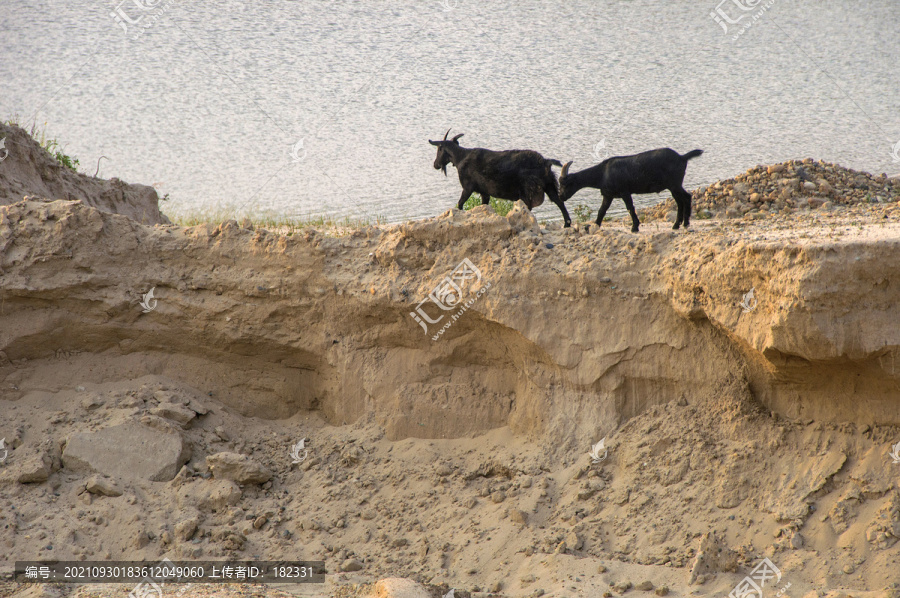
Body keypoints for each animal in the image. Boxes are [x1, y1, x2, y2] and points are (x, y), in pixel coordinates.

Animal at [428, 130, 568, 226]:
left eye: (439, 149)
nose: (435, 164)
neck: (460, 157)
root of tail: (545, 162)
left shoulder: (467, 188)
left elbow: (460, 204)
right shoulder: (484, 193)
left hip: (529, 191)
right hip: (549, 185)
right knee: (559, 202)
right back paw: (567, 224)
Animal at [564, 149, 704, 233]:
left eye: (565, 184)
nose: (561, 196)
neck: (602, 173)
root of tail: (682, 157)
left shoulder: (624, 192)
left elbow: (630, 208)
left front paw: (634, 227)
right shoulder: (608, 195)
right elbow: (602, 210)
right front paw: (595, 225)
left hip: (674, 184)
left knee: (686, 197)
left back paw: (684, 223)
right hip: (673, 186)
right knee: (681, 200)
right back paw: (678, 224)